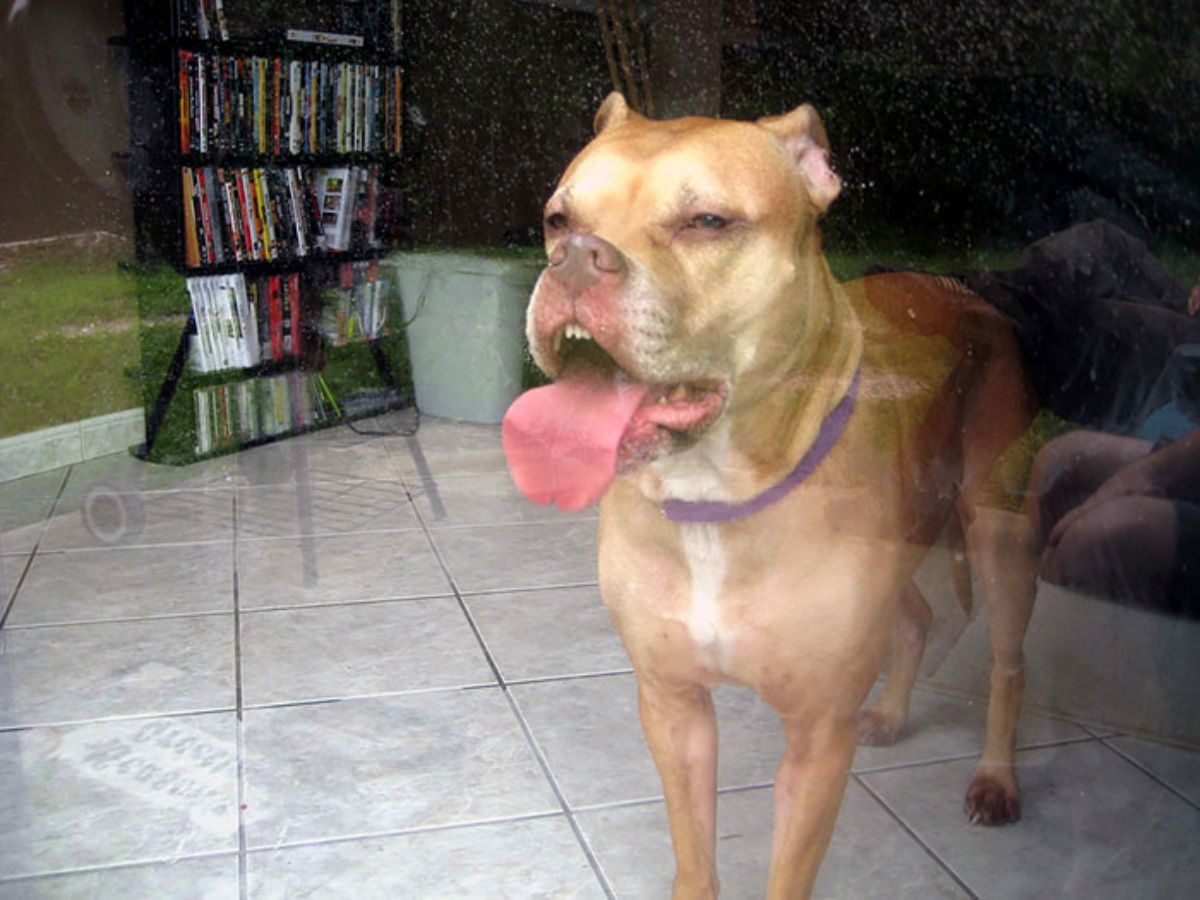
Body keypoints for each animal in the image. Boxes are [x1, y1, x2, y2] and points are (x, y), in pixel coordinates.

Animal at [504, 95, 1041, 897]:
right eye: (557, 219)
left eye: (707, 221)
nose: (573, 259)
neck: (715, 499)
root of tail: (961, 287)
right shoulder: (672, 706)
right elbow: (694, 857)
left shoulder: (816, 740)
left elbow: (788, 873)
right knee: (915, 617)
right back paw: (891, 712)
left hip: (999, 533)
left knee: (1009, 664)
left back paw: (997, 778)